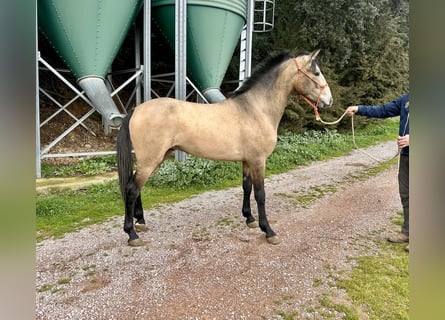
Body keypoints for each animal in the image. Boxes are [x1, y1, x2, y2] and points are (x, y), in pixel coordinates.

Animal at [116, 48, 332, 246]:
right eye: (316, 73)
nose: (329, 100)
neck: (256, 109)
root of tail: (136, 109)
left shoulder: (247, 161)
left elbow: (246, 187)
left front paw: (249, 219)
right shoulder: (258, 161)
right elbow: (260, 194)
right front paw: (268, 231)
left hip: (153, 159)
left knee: (136, 188)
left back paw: (140, 222)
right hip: (150, 160)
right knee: (132, 189)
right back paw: (132, 234)